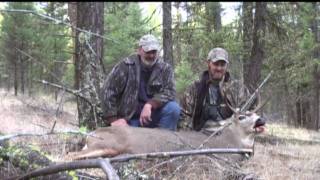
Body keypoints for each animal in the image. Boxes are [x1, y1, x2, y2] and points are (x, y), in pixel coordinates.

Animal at [65, 102, 264, 161]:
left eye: (256, 113)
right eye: (241, 117)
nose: (261, 120)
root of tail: (91, 133)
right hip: (109, 144)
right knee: (69, 156)